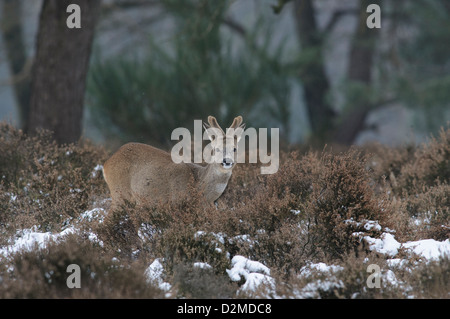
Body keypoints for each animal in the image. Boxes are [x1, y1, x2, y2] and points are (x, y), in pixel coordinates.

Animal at [102, 116, 244, 209]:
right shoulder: (176, 201)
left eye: (234, 148)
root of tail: (105, 164)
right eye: (216, 149)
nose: (226, 161)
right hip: (119, 193)